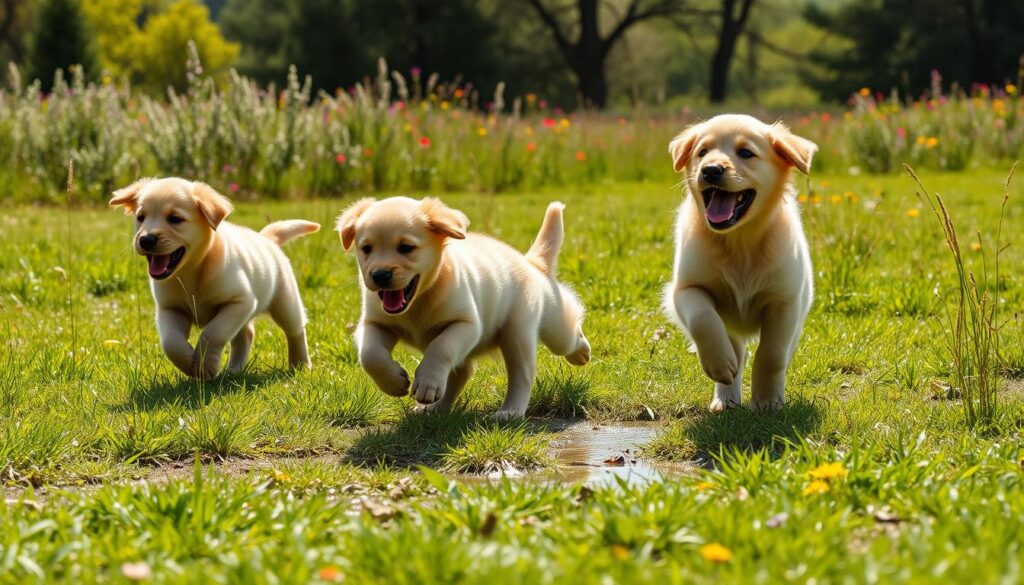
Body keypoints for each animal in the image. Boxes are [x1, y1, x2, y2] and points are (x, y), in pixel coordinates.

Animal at [108, 177, 319, 379]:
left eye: (175, 219)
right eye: (140, 218)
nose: (145, 240)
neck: (191, 271)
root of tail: (267, 240)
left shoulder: (240, 302)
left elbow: (213, 333)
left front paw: (206, 365)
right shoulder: (170, 308)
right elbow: (171, 342)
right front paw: (189, 363)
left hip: (285, 301)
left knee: (295, 330)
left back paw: (301, 365)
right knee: (246, 335)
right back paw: (234, 370)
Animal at [337, 196, 593, 422]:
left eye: (406, 247)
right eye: (366, 249)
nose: (380, 275)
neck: (420, 299)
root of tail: (531, 263)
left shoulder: (467, 324)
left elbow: (440, 348)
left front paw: (427, 382)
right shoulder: (374, 323)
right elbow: (370, 354)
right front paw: (394, 382)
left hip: (527, 330)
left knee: (528, 369)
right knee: (462, 373)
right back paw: (435, 409)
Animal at [663, 114, 815, 413]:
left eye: (745, 153)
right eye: (702, 152)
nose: (710, 170)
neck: (739, 241)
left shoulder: (785, 302)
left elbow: (772, 354)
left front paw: (768, 401)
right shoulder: (685, 289)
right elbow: (702, 319)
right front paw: (720, 365)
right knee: (734, 349)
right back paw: (725, 396)